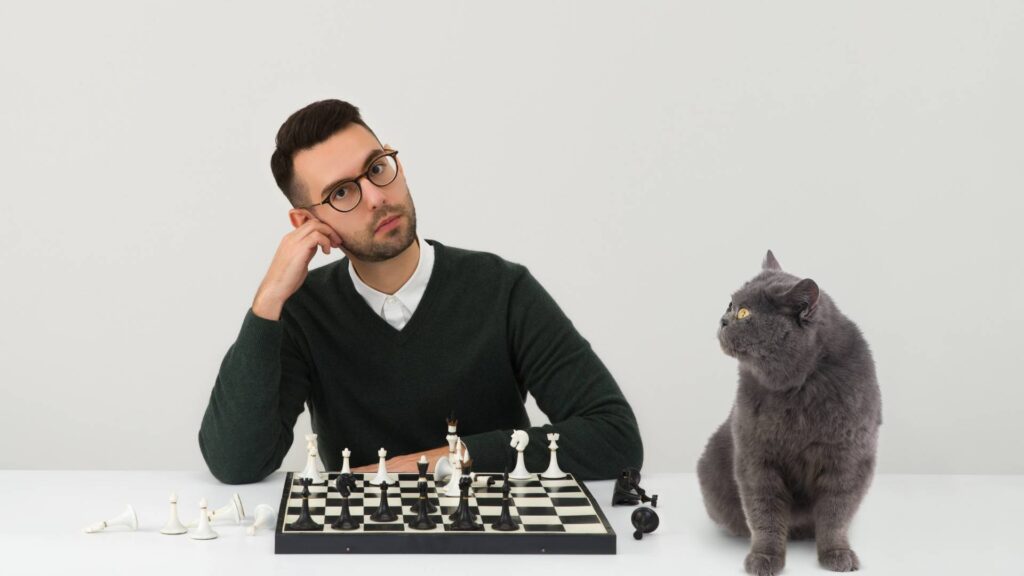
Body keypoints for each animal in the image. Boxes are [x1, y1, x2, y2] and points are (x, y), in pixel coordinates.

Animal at [700, 249, 884, 569]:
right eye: (731, 305)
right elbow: (764, 512)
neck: (797, 388)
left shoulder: (848, 457)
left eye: (744, 313)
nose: (723, 319)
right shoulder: (755, 456)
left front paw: (836, 554)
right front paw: (764, 557)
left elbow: (836, 513)